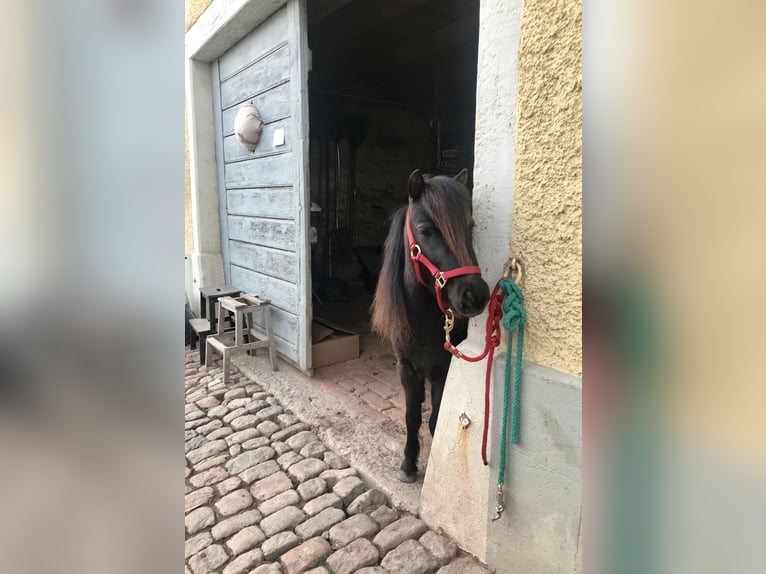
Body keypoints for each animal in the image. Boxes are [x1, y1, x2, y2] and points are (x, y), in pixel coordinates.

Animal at [374, 169, 492, 484]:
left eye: (470, 226)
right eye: (425, 230)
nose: (475, 295)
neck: (424, 324)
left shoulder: (443, 370)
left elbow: (436, 418)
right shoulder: (407, 369)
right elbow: (412, 417)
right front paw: (408, 464)